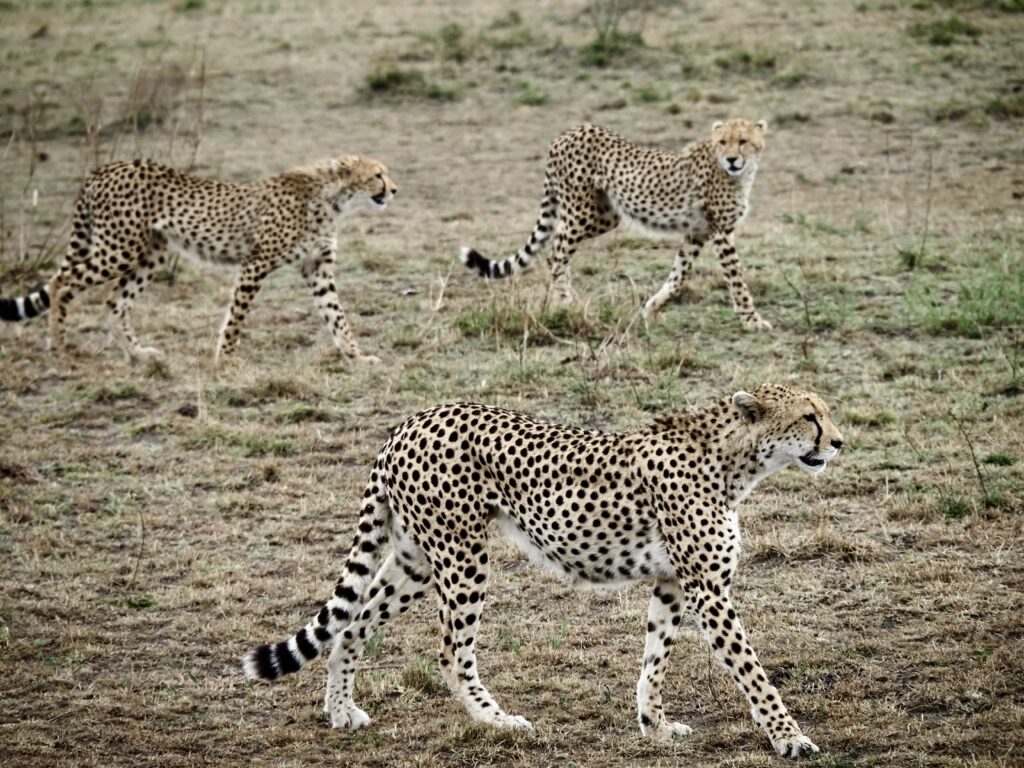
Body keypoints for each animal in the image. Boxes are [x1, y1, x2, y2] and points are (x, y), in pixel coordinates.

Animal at [1, 155, 395, 364]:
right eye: (377, 174)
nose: (394, 189)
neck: (331, 197)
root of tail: (105, 167)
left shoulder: (317, 268)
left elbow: (337, 316)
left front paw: (357, 357)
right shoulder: (255, 264)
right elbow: (236, 317)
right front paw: (226, 359)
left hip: (149, 254)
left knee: (115, 302)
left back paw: (138, 353)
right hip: (118, 249)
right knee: (61, 282)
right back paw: (59, 347)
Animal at [243, 385, 843, 757]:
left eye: (825, 414)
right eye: (809, 417)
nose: (838, 441)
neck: (734, 458)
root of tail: (411, 421)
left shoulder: (674, 584)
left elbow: (655, 658)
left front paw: (654, 725)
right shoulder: (707, 588)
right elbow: (752, 670)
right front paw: (789, 738)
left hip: (415, 558)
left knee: (353, 622)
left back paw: (340, 710)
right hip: (463, 555)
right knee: (451, 651)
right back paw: (496, 719)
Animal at [460, 118, 770, 329]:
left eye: (743, 141)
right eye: (723, 142)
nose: (732, 160)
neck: (738, 174)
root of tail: (567, 133)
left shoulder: (696, 233)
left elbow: (679, 276)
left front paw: (651, 308)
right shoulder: (721, 232)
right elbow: (737, 278)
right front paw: (752, 320)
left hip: (606, 216)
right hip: (580, 212)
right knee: (556, 252)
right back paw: (564, 303)